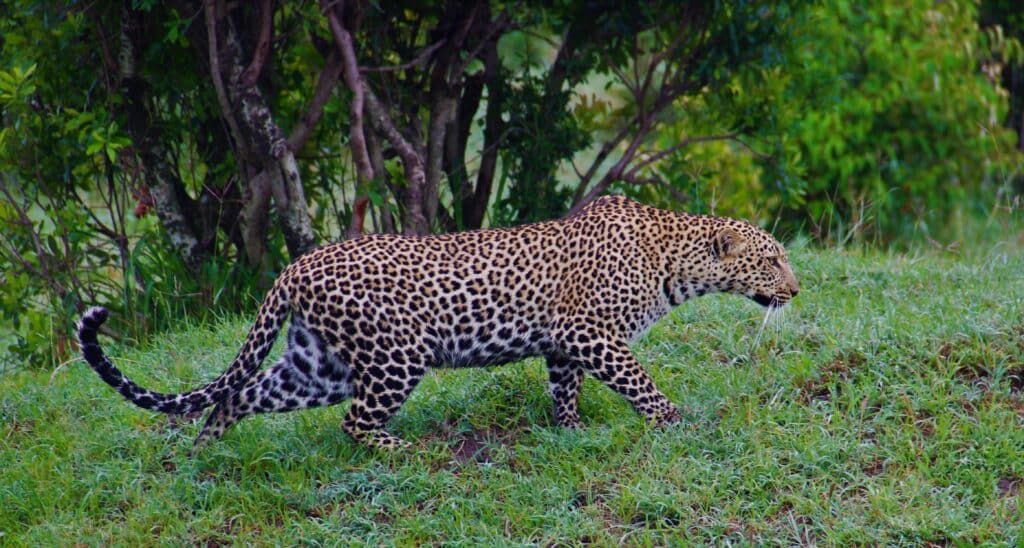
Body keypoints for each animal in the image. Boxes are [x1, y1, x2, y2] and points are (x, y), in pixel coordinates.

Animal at [79, 195, 798, 452]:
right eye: (771, 259)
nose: (794, 288)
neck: (674, 259)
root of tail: (296, 265)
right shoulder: (592, 333)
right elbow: (638, 381)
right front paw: (674, 421)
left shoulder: (565, 343)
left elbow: (565, 388)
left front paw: (569, 430)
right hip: (395, 358)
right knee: (354, 423)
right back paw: (405, 453)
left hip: (319, 366)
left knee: (238, 394)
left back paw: (205, 453)